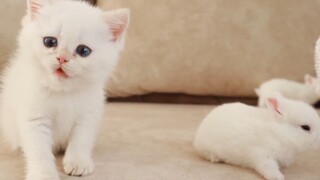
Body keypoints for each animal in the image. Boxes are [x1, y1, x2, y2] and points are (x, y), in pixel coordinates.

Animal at [0, 0, 129, 179]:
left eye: (83, 50)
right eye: (50, 42)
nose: (62, 58)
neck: (63, 92)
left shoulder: (88, 116)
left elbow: (81, 140)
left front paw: (78, 162)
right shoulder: (34, 118)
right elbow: (39, 151)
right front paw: (44, 174)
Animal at [192, 94, 320, 180]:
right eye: (305, 127)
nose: (319, 140)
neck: (280, 133)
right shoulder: (263, 155)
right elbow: (268, 167)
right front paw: (277, 177)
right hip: (205, 147)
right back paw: (215, 158)